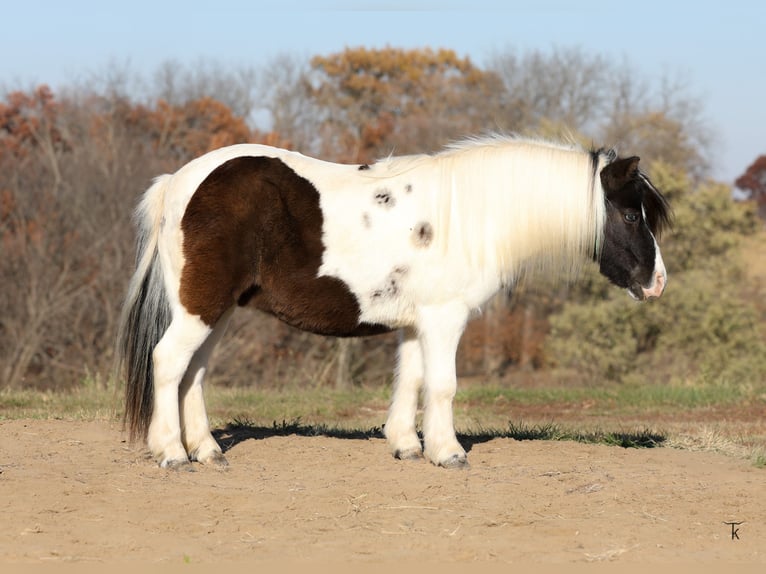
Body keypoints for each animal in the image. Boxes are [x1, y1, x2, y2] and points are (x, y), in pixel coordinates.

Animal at [116, 134, 671, 470]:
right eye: (630, 216)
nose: (657, 282)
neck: (469, 214)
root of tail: (179, 182)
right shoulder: (445, 319)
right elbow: (443, 386)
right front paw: (448, 453)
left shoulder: (416, 322)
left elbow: (412, 379)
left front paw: (406, 445)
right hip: (201, 308)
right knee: (168, 362)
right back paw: (171, 453)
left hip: (219, 311)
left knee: (193, 374)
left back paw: (207, 451)